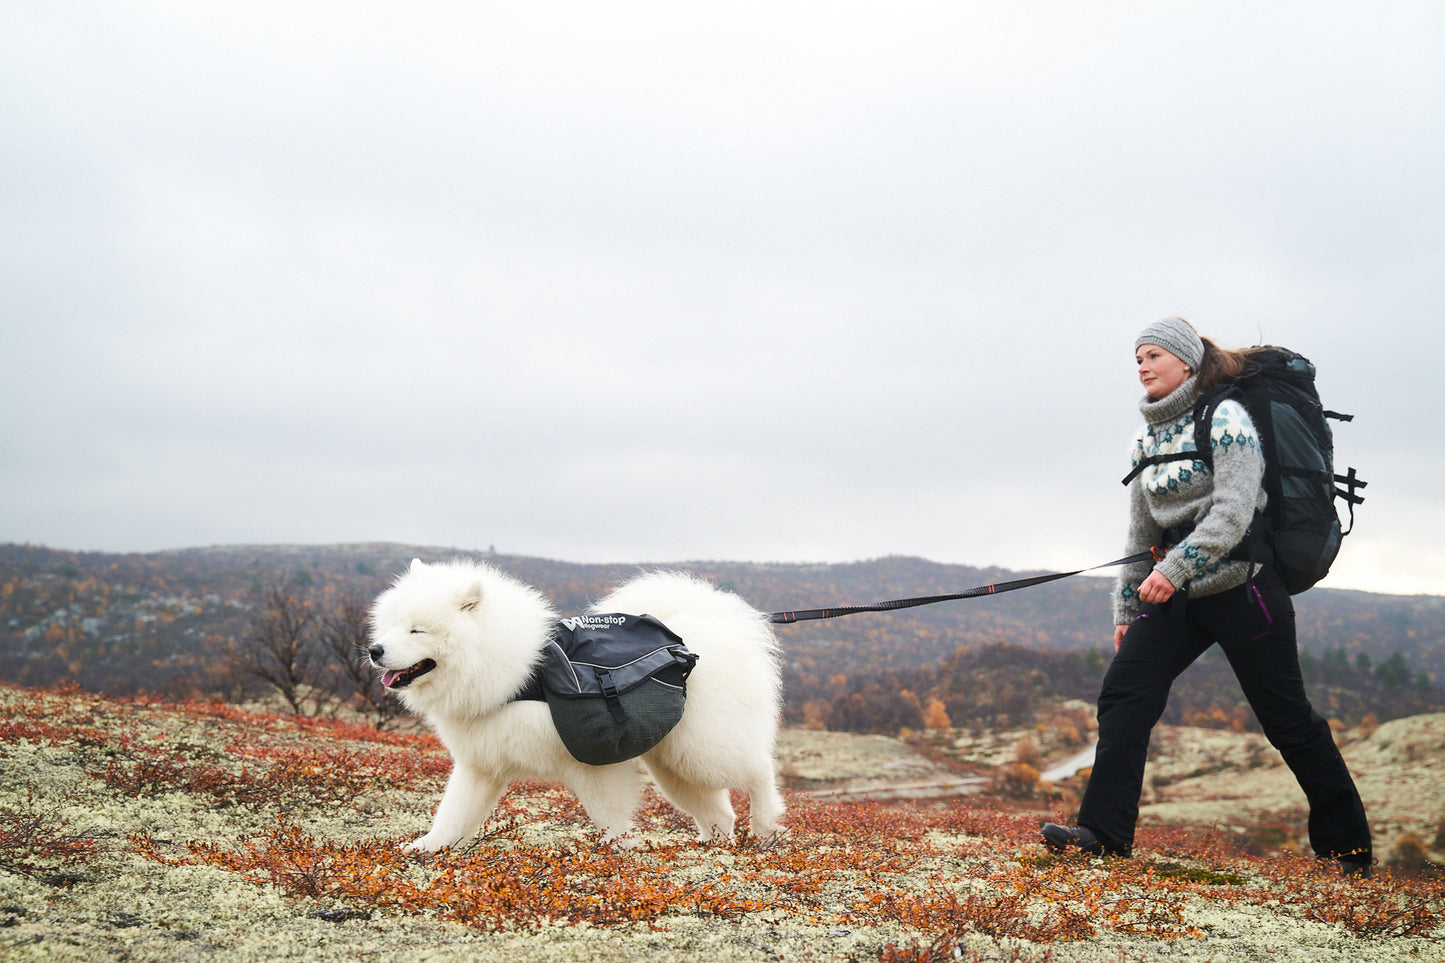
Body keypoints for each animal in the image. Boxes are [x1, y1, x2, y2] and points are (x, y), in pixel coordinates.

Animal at [367, 555, 786, 850]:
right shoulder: (481, 764)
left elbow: (610, 816)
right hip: (675, 764)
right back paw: (716, 845)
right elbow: (453, 814)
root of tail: (707, 629)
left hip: (704, 751)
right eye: (390, 624)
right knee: (720, 811)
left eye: (417, 630)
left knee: (759, 771)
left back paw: (765, 824)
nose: (374, 650)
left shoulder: (590, 761)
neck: (523, 674)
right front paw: (424, 848)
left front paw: (617, 854)